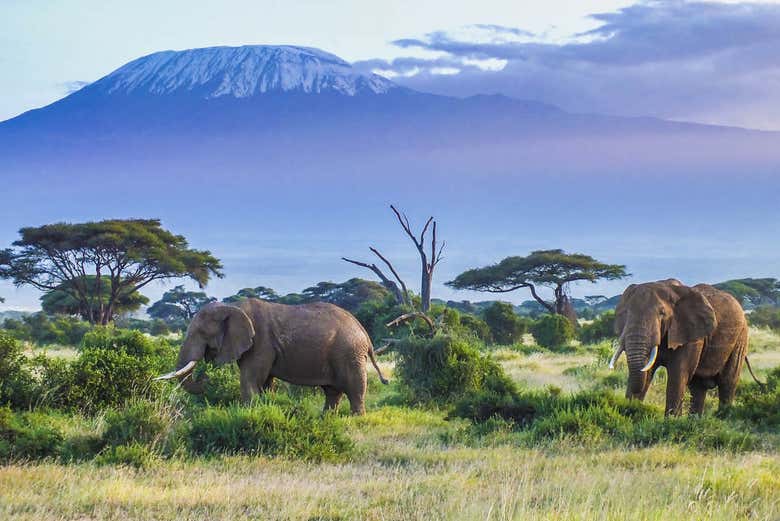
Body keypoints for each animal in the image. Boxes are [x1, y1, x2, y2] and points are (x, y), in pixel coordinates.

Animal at [158, 296, 386, 414]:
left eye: (202, 333)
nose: (205, 379)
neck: (233, 307)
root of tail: (364, 331)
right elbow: (265, 382)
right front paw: (262, 408)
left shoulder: (261, 343)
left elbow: (250, 380)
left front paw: (248, 413)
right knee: (332, 391)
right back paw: (327, 418)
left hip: (349, 353)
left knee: (354, 389)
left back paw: (356, 419)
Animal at [608, 278, 748, 416]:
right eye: (626, 313)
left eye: (662, 313)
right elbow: (647, 370)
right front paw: (630, 412)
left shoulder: (690, 335)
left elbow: (678, 373)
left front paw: (671, 420)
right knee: (698, 386)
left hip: (741, 338)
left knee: (727, 382)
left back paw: (723, 416)